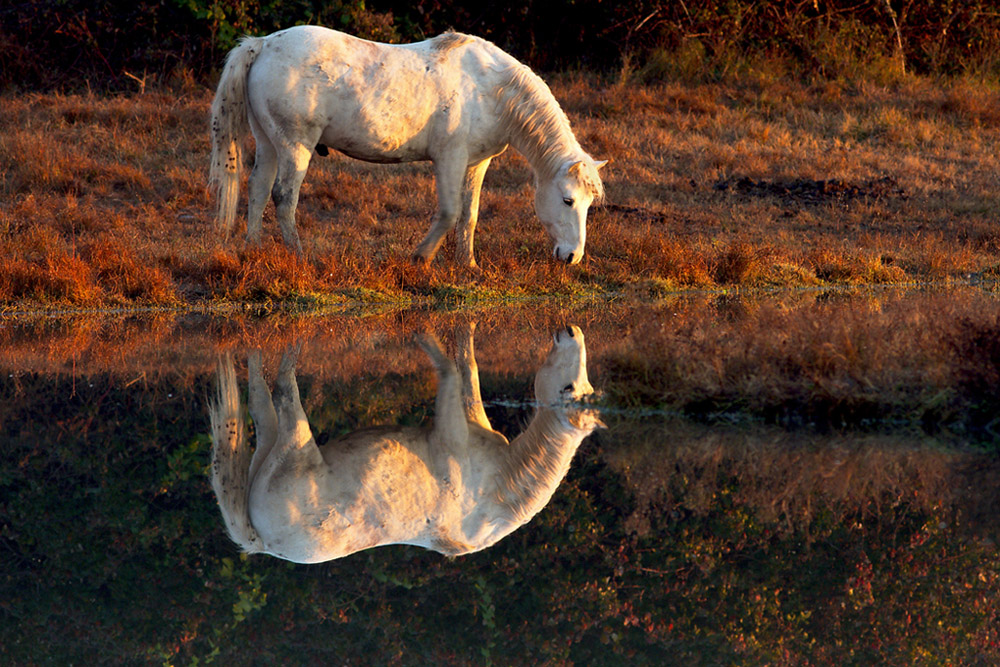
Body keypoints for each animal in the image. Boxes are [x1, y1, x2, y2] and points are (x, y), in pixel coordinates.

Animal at [207, 26, 604, 266]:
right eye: (567, 200)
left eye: (589, 205)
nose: (573, 256)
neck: (490, 87)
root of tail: (262, 44)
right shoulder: (449, 159)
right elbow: (449, 211)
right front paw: (421, 258)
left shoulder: (476, 164)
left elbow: (469, 215)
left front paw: (468, 265)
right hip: (295, 146)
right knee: (283, 197)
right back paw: (302, 257)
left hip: (269, 143)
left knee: (258, 190)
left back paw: (252, 249)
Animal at [207, 324, 600, 564]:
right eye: (573, 386)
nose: (571, 330)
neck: (498, 490)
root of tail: (261, 540)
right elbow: (463, 367)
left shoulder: (455, 431)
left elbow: (457, 368)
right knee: (270, 393)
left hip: (286, 443)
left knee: (272, 394)